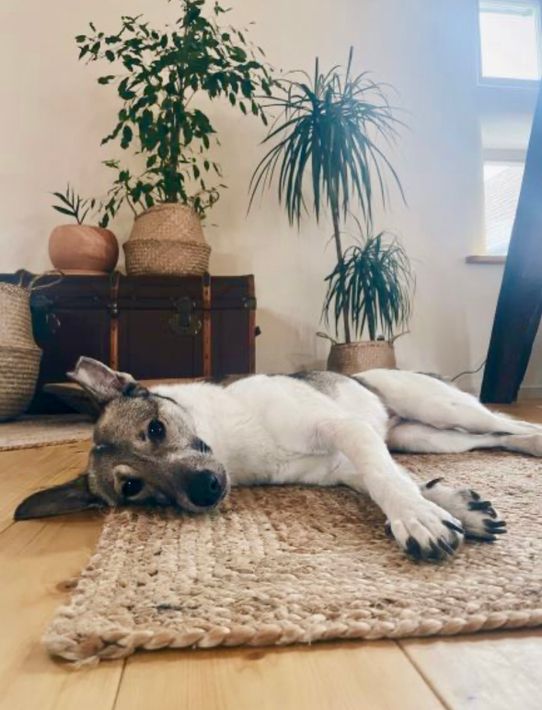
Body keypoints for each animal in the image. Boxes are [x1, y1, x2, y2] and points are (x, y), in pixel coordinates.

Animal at [14, 357, 542, 561]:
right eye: (132, 487)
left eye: (156, 429)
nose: (205, 490)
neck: (232, 442)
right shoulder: (342, 467)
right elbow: (391, 479)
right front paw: (452, 508)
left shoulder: (345, 431)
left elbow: (386, 480)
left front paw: (417, 517)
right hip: (428, 438)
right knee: (495, 437)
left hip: (439, 407)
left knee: (509, 425)